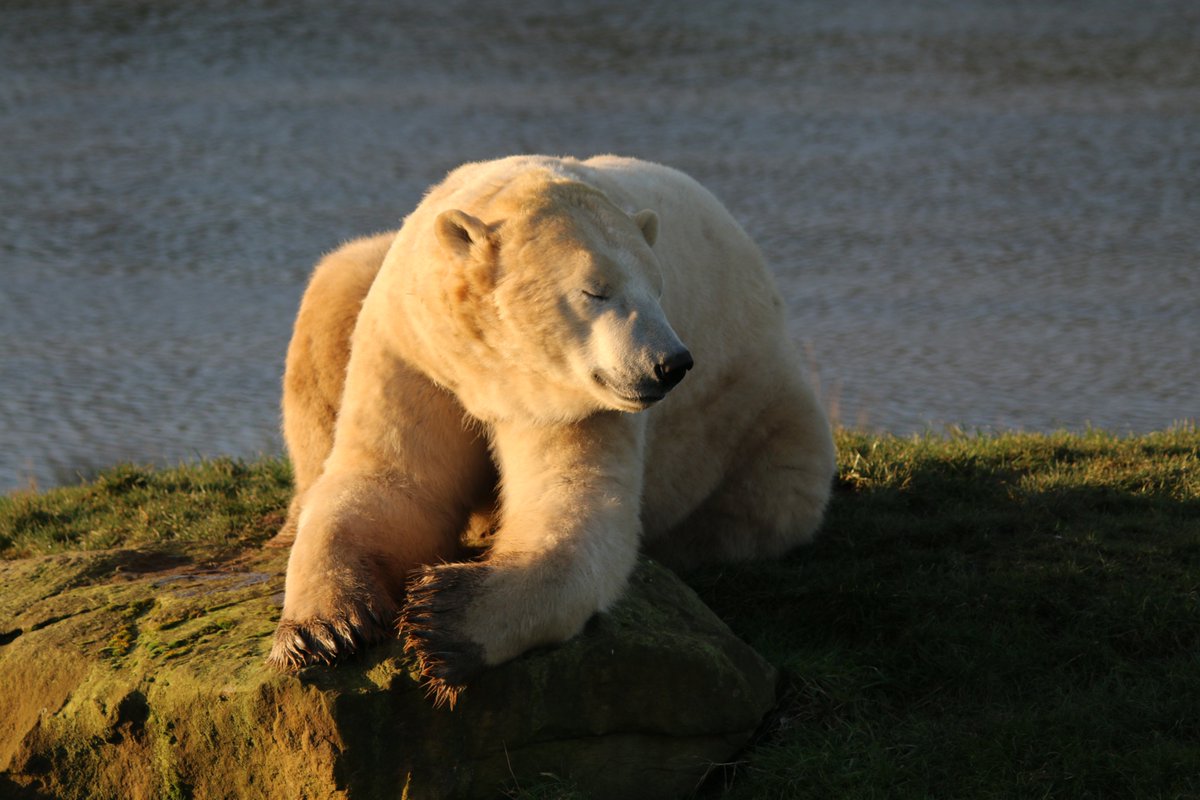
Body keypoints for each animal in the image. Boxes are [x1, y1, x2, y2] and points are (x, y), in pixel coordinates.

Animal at [268, 155, 836, 704]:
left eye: (658, 289)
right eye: (596, 291)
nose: (671, 365)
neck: (489, 370)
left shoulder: (571, 403)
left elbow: (572, 502)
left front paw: (446, 616)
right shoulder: (414, 347)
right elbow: (388, 482)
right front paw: (320, 632)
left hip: (764, 419)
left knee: (769, 496)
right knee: (334, 291)